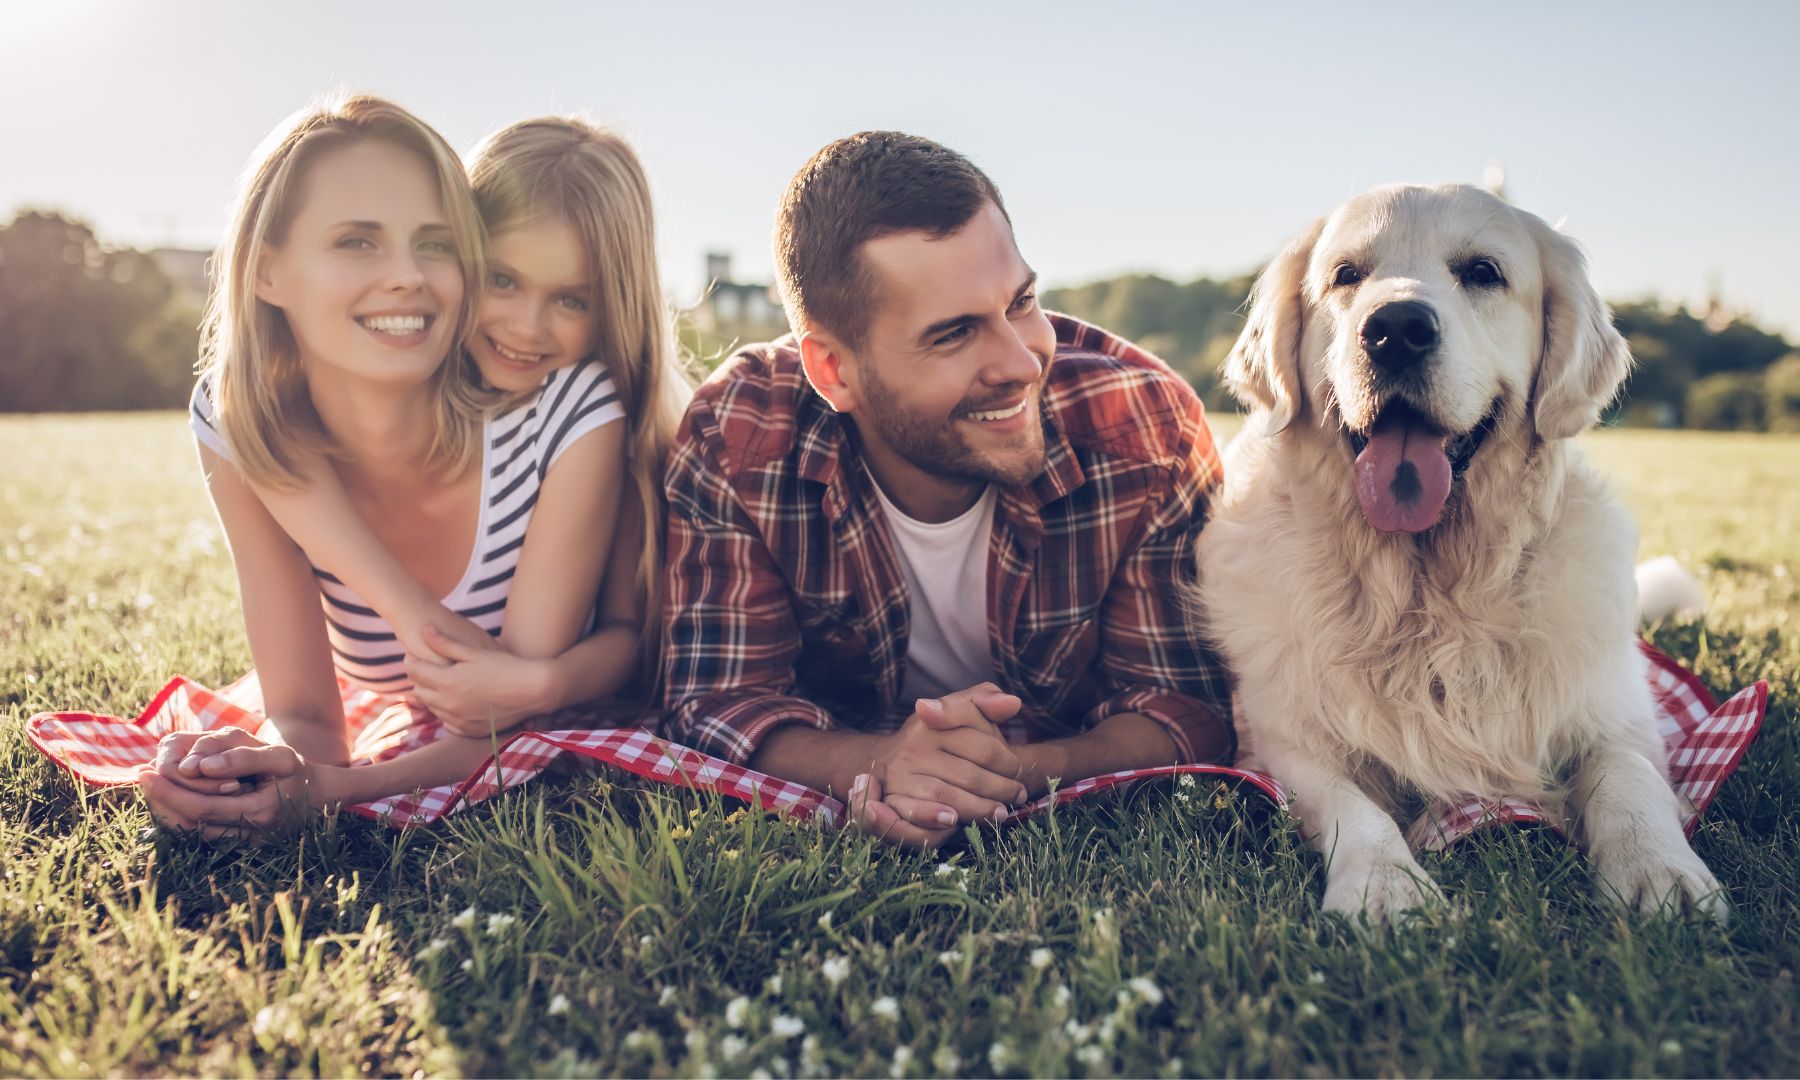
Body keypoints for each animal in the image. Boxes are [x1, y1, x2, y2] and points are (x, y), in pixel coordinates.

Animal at [1188, 183, 1720, 918]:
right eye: (1346, 275)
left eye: (1483, 272)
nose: (1395, 330)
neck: (1428, 593)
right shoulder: (1285, 741)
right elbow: (1351, 805)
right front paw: (1384, 883)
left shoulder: (1619, 714)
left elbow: (1627, 774)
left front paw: (1659, 869)